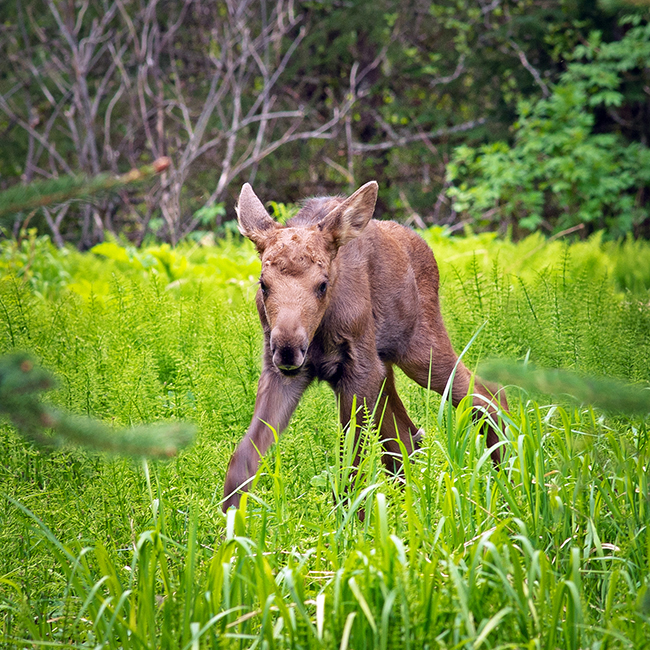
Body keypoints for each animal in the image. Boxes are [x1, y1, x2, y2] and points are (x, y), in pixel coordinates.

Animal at [222, 181, 508, 511]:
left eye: (322, 284)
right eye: (263, 283)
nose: (288, 349)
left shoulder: (359, 369)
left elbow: (351, 467)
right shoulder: (283, 372)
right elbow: (243, 459)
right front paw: (229, 521)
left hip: (419, 349)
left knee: (488, 396)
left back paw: (512, 483)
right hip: (385, 367)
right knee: (409, 436)